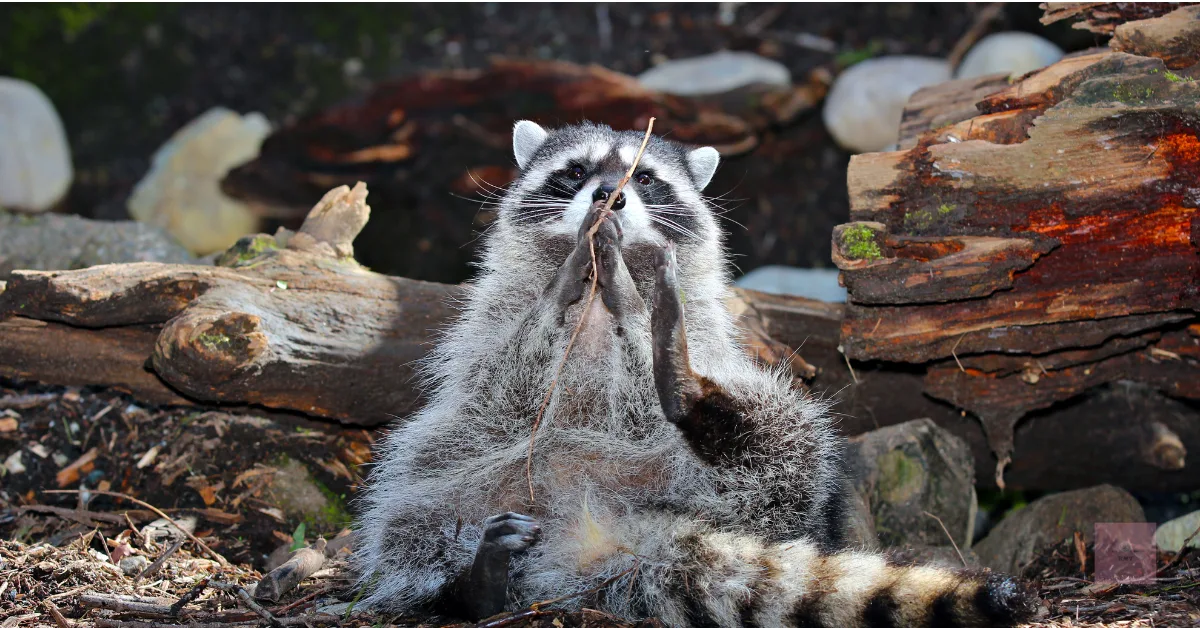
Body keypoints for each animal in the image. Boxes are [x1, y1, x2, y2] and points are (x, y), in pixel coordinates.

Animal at [352, 121, 1039, 627]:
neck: (603, 283)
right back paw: (468, 586)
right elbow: (500, 394)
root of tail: (592, 527)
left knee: (789, 449)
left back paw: (697, 398)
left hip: (712, 483)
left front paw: (634, 313)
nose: (608, 197)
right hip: (464, 477)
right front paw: (562, 289)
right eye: (575, 171)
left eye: (645, 178)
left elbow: (644, 398)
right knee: (402, 515)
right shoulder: (485, 325)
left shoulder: (704, 320)